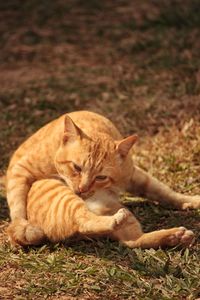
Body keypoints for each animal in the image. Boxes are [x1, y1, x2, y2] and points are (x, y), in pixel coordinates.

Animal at [6, 111, 198, 247]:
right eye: (76, 167)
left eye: (101, 177)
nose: (82, 190)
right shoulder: (20, 169)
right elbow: (17, 206)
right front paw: (21, 227)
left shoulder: (134, 176)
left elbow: (163, 191)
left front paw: (189, 201)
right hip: (63, 197)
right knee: (83, 220)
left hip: (122, 214)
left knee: (132, 241)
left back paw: (175, 237)